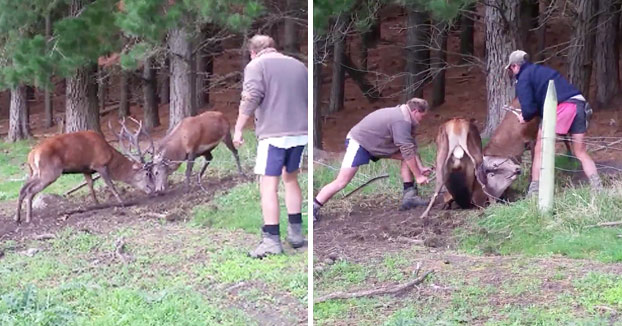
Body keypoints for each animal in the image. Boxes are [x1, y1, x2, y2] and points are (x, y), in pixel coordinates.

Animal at [16, 119, 155, 224]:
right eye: (147, 173)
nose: (153, 189)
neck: (110, 156)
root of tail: (32, 154)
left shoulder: (86, 169)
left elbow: (90, 185)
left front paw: (96, 204)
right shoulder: (100, 164)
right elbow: (111, 184)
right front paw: (122, 202)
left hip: (35, 172)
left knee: (23, 188)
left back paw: (17, 218)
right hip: (50, 172)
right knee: (30, 190)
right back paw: (28, 218)